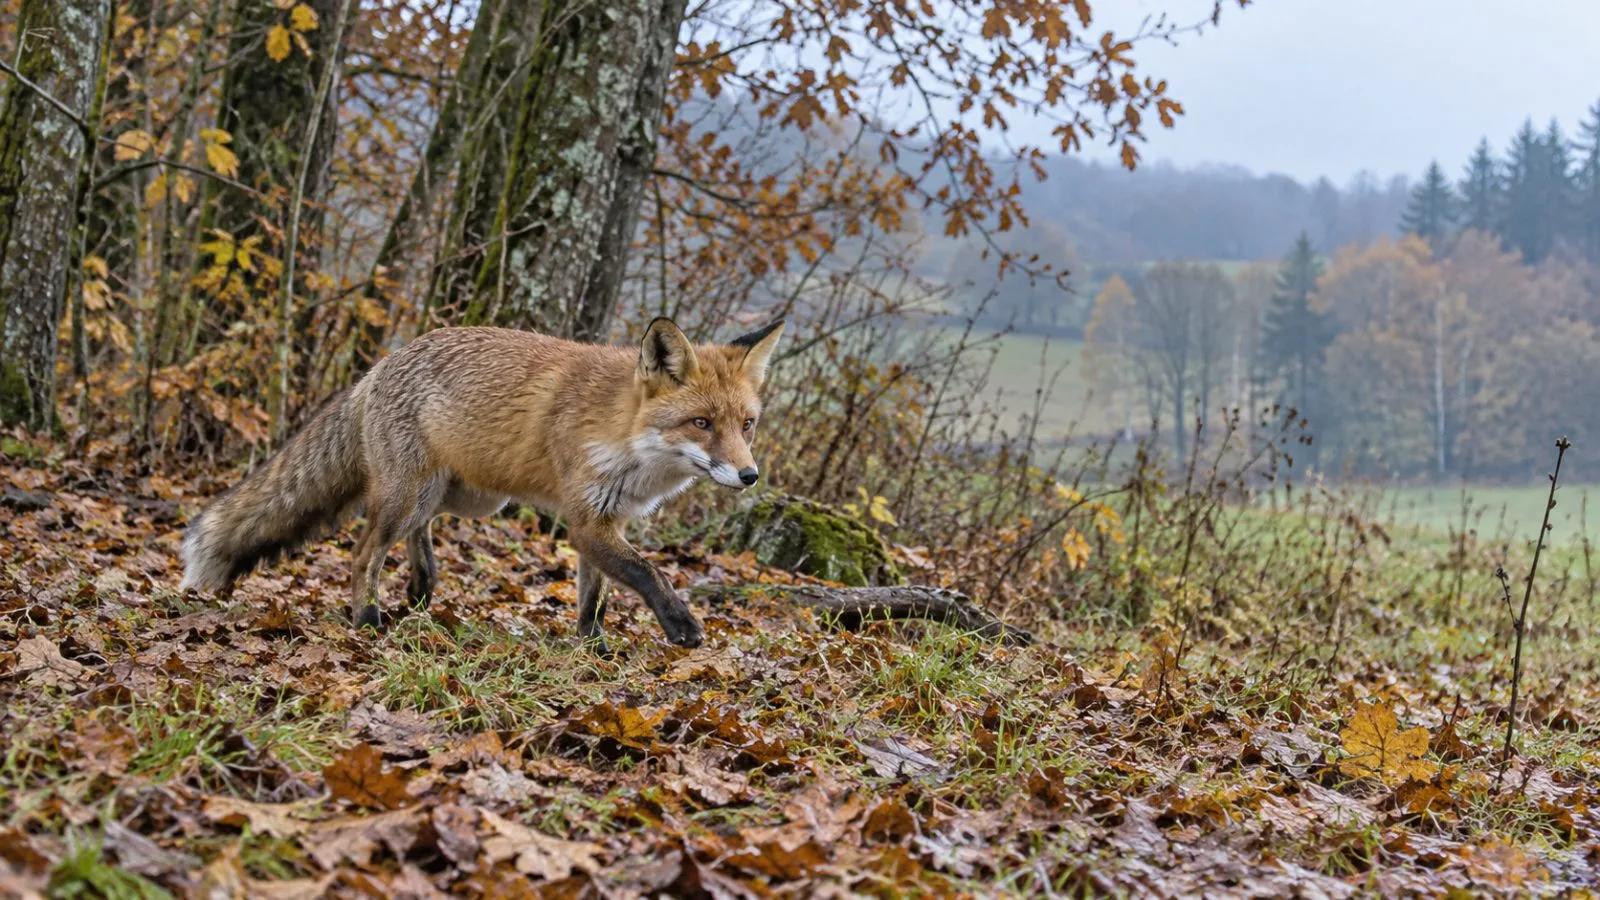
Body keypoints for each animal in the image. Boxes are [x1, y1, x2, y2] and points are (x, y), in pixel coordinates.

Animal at [180, 316, 784, 653]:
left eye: (747, 425)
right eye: (701, 424)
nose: (749, 475)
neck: (625, 433)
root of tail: (375, 370)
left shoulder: (606, 519)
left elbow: (596, 596)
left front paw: (594, 649)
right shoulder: (586, 520)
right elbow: (648, 572)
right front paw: (682, 625)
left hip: (466, 498)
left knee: (417, 535)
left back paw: (420, 592)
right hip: (412, 494)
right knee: (364, 552)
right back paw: (369, 620)